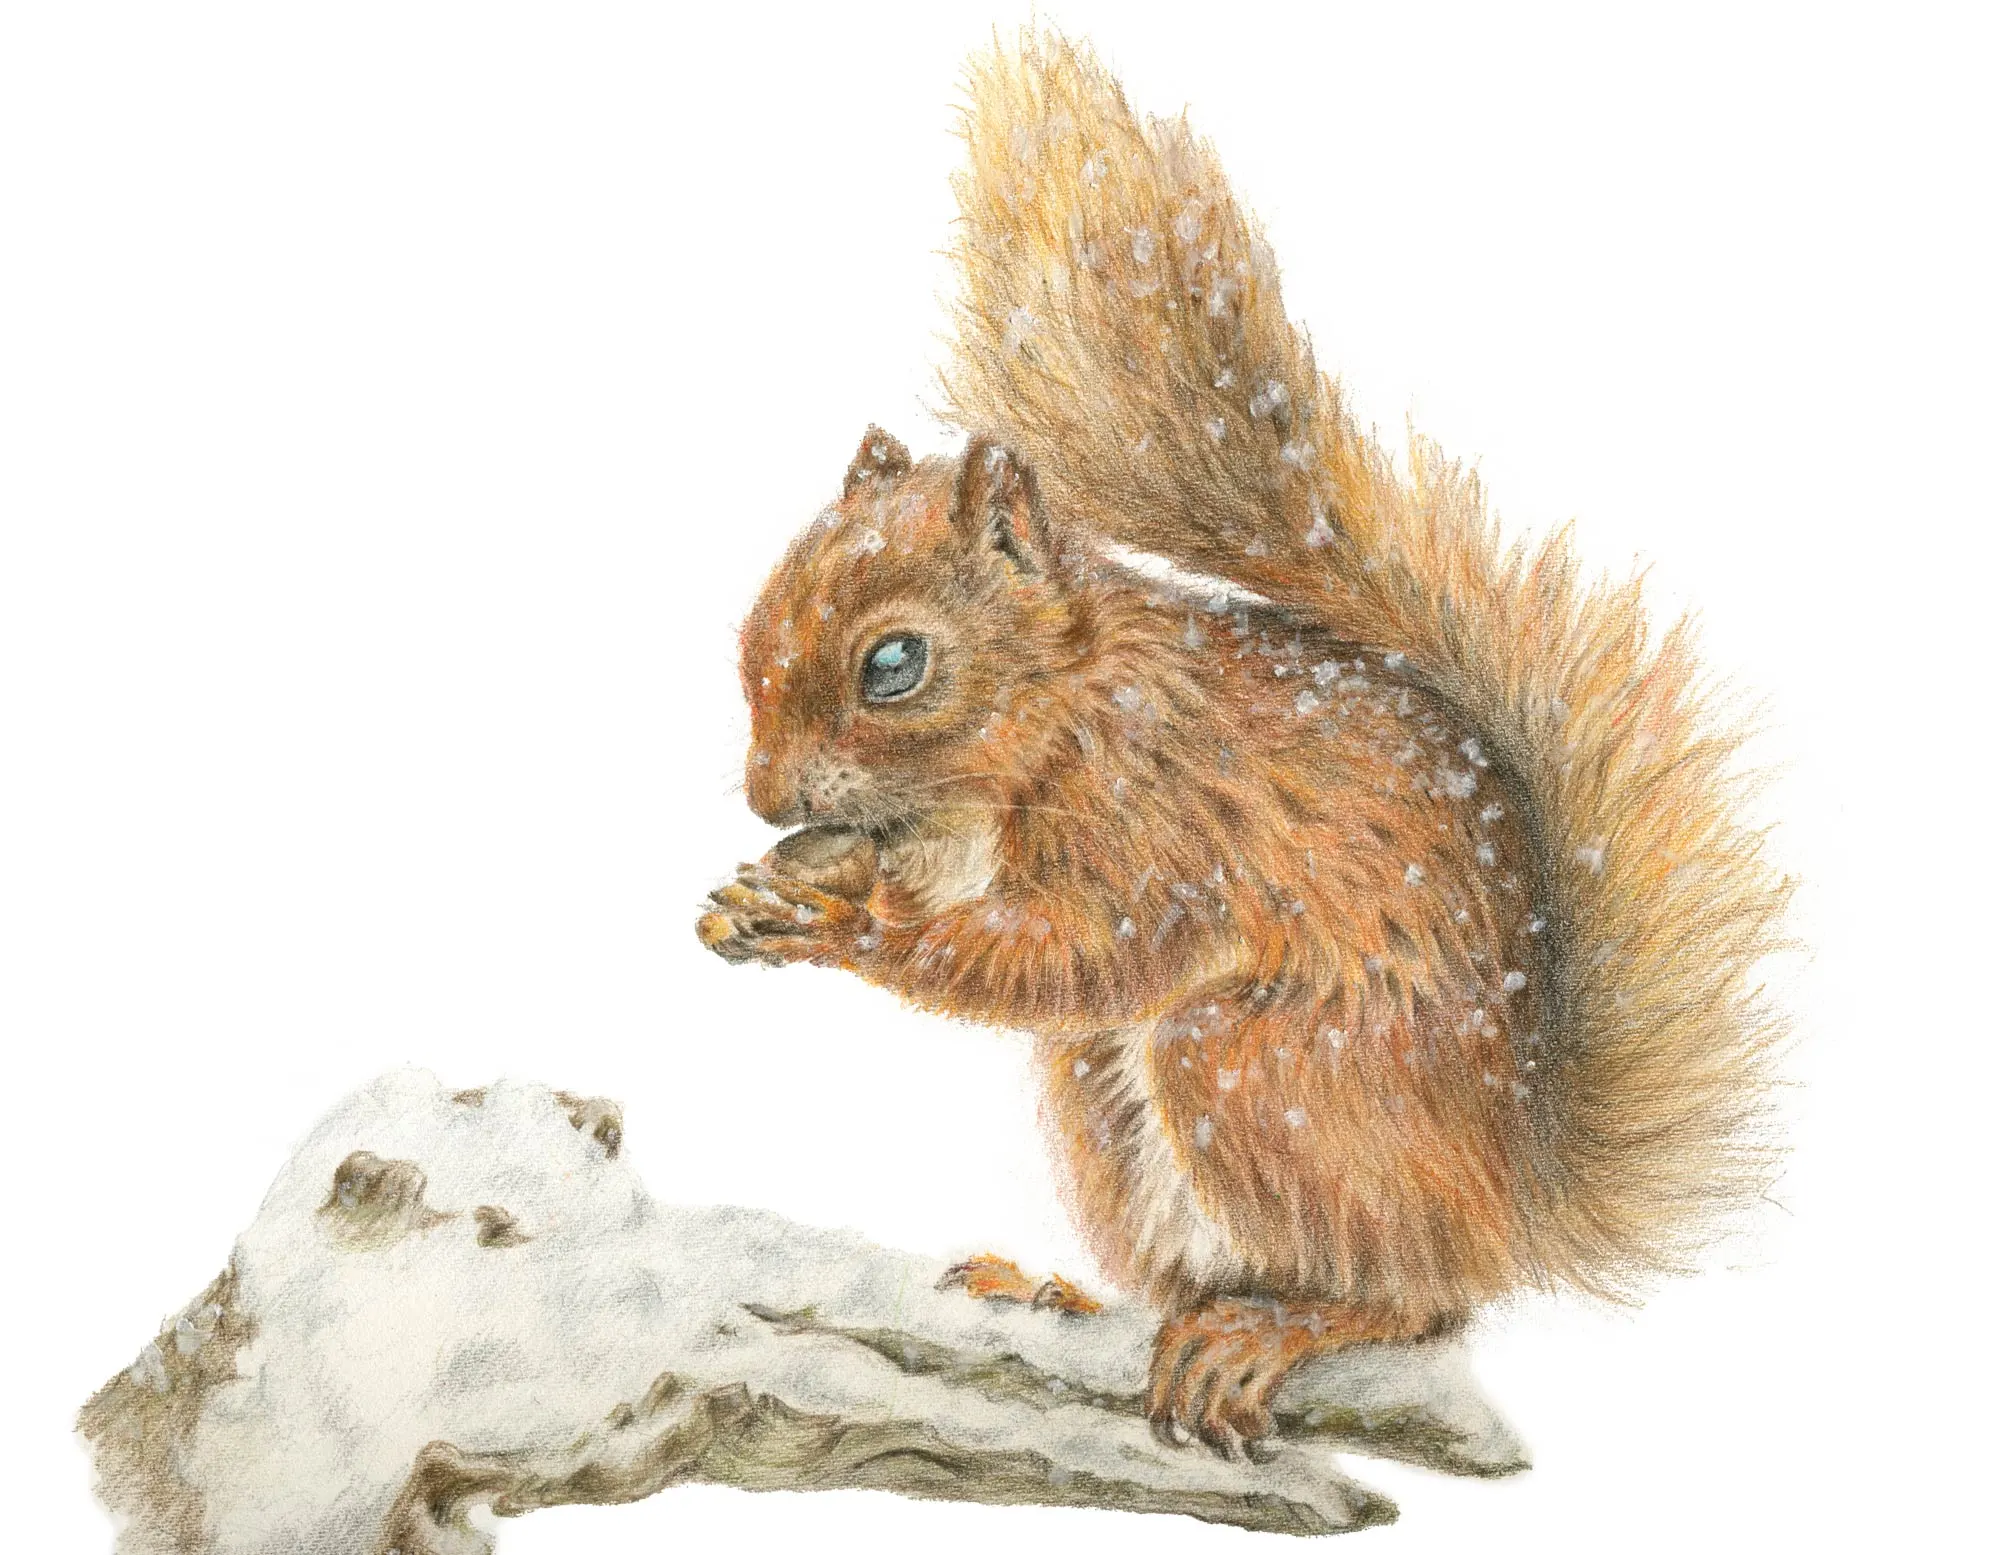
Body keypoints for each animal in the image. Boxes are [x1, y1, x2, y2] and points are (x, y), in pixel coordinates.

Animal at [698, 33, 1788, 1455]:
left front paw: (852, 924)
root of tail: (1513, 1200)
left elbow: (1072, 955)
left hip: (1259, 1067)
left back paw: (1283, 1324)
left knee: (1412, 1295)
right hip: (1099, 1109)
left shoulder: (1159, 815)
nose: (765, 797)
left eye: (894, 663)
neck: (1056, 710)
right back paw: (1057, 1291)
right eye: (753, 617)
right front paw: (761, 895)